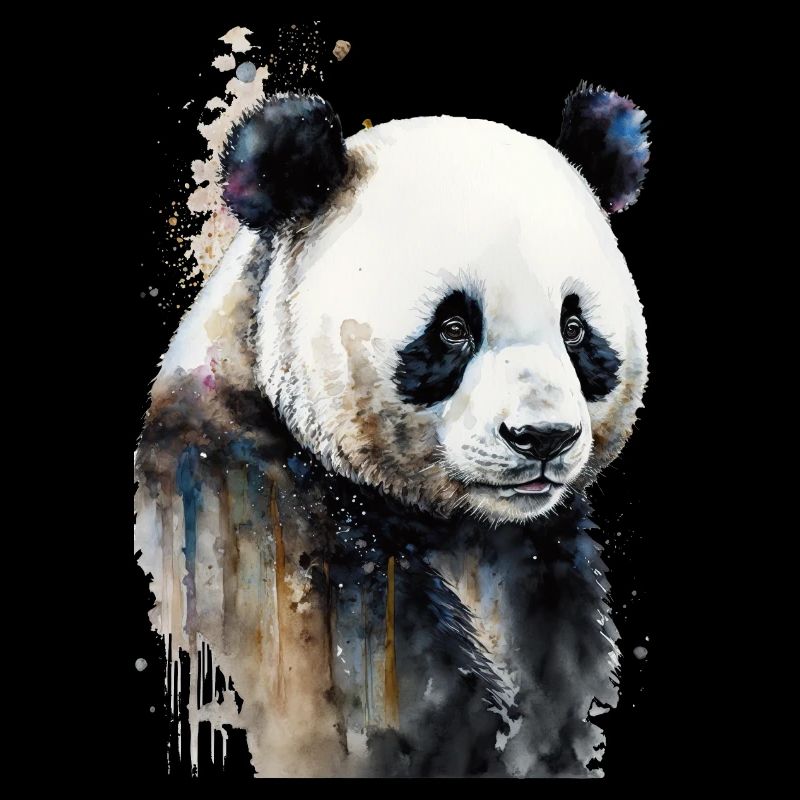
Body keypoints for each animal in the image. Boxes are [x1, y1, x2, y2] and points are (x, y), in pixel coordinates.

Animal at [134, 83, 650, 778]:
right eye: (453, 329)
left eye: (575, 329)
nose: (542, 437)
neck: (461, 532)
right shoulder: (270, 543)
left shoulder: (547, 568)